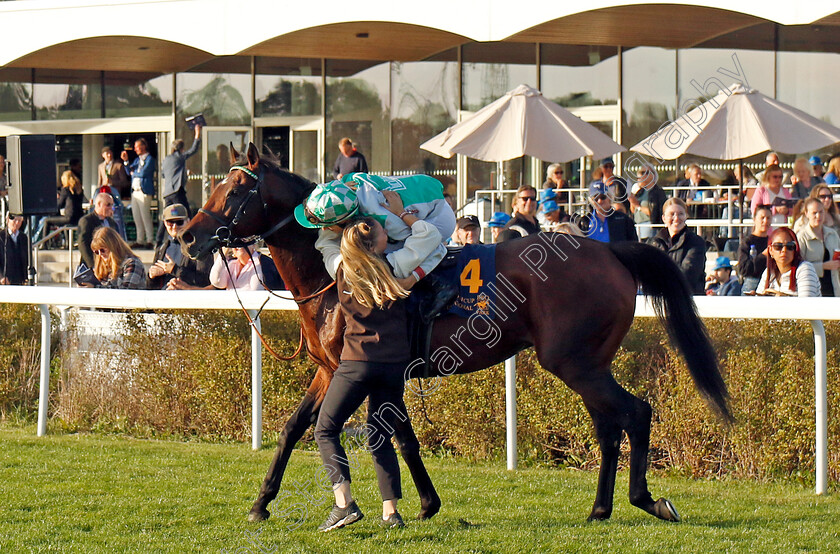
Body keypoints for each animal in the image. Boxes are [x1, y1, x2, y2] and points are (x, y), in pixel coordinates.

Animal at [180, 142, 732, 520]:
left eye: (235, 190)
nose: (185, 235)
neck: (333, 275)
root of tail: (611, 251)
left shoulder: (370, 369)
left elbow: (397, 435)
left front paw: (421, 503)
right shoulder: (333, 369)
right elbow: (297, 428)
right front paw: (261, 503)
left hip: (572, 360)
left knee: (634, 413)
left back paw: (646, 501)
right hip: (588, 362)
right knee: (609, 425)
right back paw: (600, 508)